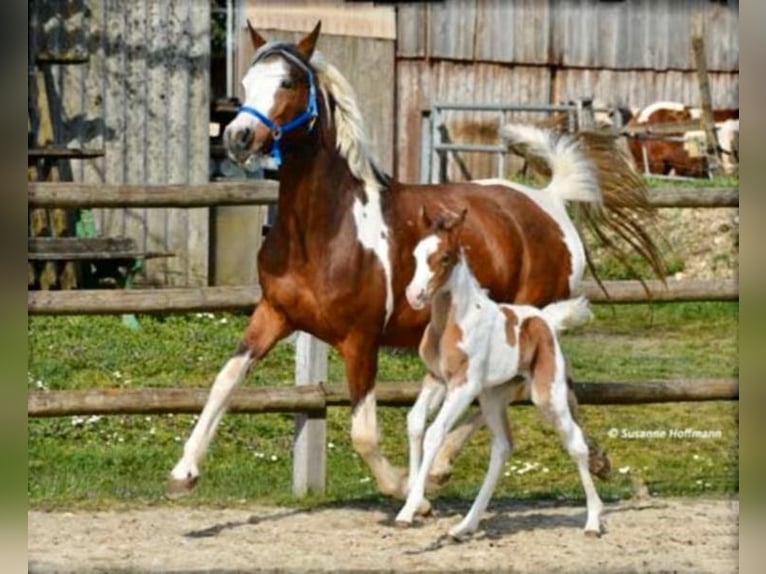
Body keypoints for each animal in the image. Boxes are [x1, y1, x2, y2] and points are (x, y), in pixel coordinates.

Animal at [171, 21, 664, 500]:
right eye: (246, 81)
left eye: (288, 81)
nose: (237, 136)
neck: (322, 231)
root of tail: (549, 201)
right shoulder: (274, 314)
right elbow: (225, 380)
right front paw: (185, 472)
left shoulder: (361, 339)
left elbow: (363, 433)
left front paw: (409, 490)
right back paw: (591, 460)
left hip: (527, 318)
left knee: (513, 385)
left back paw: (442, 468)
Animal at [396, 208, 608, 540]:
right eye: (416, 254)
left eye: (444, 257)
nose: (414, 295)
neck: (453, 322)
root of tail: (544, 319)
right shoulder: (436, 380)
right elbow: (415, 423)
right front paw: (415, 502)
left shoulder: (463, 386)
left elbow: (434, 433)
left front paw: (409, 510)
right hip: (493, 397)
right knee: (502, 447)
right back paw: (465, 525)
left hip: (547, 395)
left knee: (575, 443)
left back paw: (594, 521)